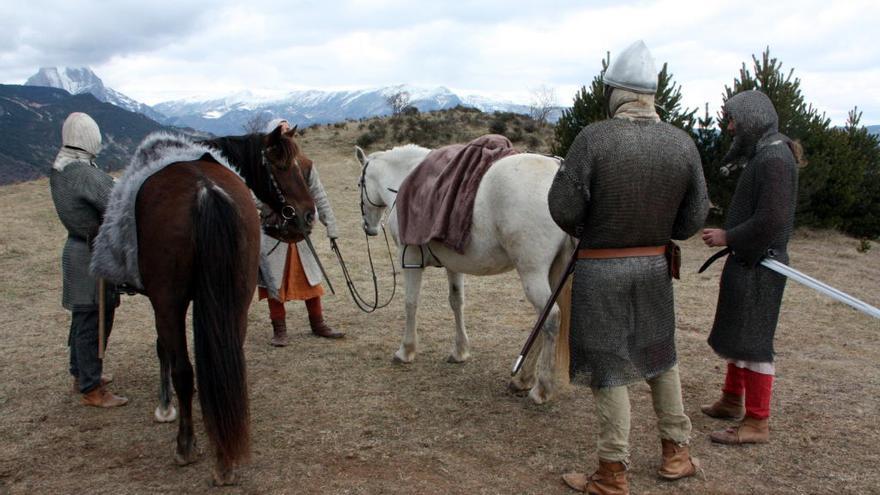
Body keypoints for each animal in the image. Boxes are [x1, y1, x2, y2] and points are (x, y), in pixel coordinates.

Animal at [138, 126, 316, 486]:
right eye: (281, 166)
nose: (307, 215)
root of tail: (205, 190)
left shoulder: (159, 300)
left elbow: (164, 350)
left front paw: (165, 409)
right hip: (236, 295)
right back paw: (225, 457)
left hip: (169, 300)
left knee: (184, 371)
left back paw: (187, 446)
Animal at [354, 144, 576, 404]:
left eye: (359, 184)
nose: (368, 228)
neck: (408, 182)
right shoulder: (453, 265)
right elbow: (456, 302)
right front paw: (460, 350)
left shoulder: (410, 260)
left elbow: (410, 303)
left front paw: (406, 350)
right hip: (555, 273)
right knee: (543, 320)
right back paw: (523, 379)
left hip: (533, 274)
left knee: (550, 318)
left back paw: (541, 388)